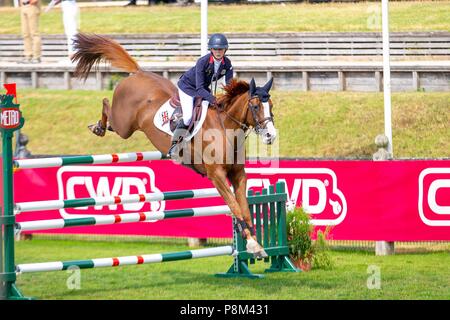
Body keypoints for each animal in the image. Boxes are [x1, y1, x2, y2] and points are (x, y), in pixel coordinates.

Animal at [71, 33, 276, 258]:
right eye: (255, 106)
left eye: (271, 106)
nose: (271, 136)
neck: (225, 129)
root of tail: (139, 73)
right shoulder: (217, 175)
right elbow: (235, 206)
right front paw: (253, 244)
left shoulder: (238, 174)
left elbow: (245, 210)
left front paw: (257, 245)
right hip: (123, 125)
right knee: (106, 103)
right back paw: (97, 126)